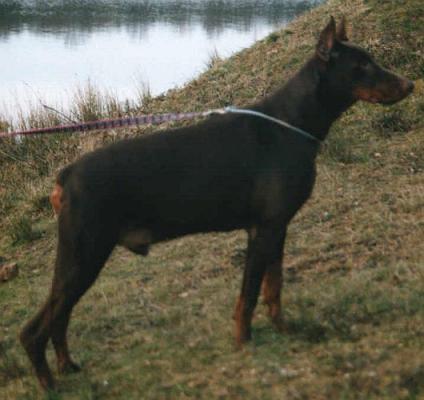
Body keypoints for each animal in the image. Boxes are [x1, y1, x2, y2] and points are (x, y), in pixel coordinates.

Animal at [20, 17, 414, 390]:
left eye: (372, 60)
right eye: (361, 66)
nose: (409, 85)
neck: (292, 123)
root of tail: (65, 175)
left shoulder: (278, 228)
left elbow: (274, 288)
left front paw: (284, 331)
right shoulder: (263, 229)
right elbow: (249, 295)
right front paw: (244, 344)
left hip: (80, 258)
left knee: (59, 318)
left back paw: (67, 366)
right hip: (84, 253)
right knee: (34, 329)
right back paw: (49, 383)